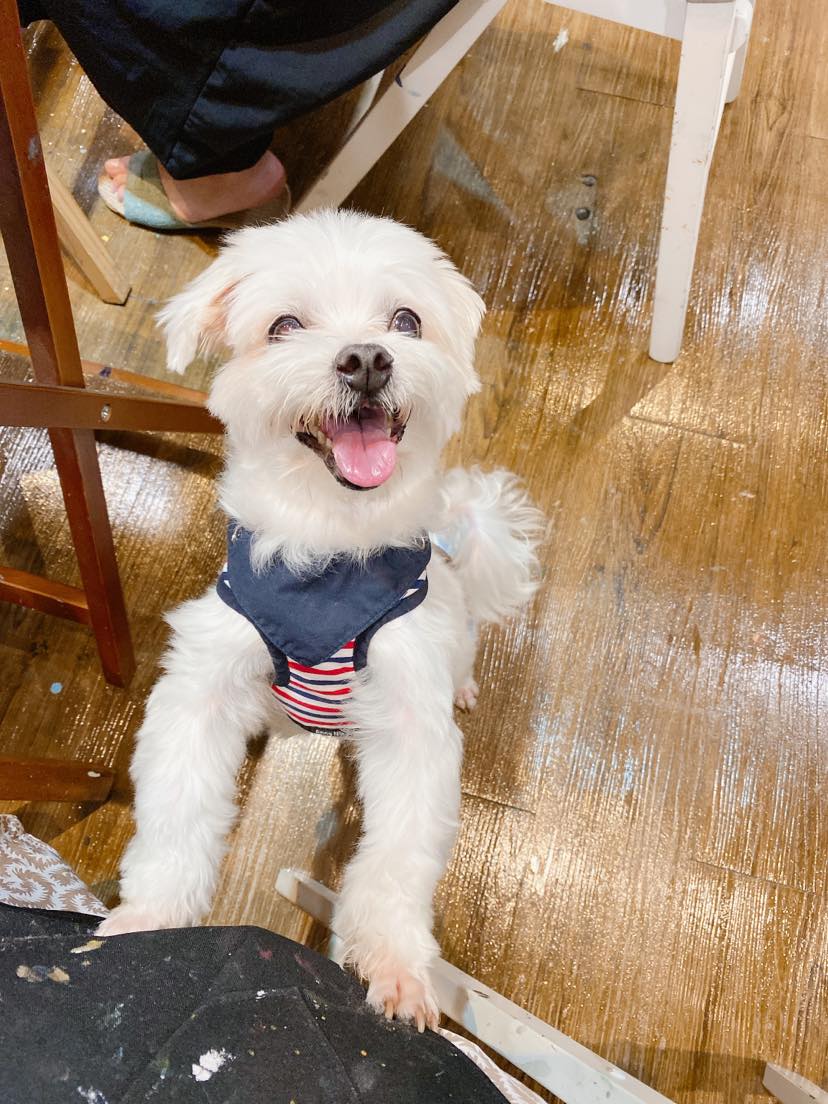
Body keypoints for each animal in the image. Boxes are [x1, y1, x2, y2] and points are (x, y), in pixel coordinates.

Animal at [98, 210, 542, 1030]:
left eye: (406, 320)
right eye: (284, 325)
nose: (366, 358)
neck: (329, 552)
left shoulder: (411, 721)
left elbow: (398, 859)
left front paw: (395, 966)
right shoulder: (201, 687)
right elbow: (176, 813)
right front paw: (148, 921)